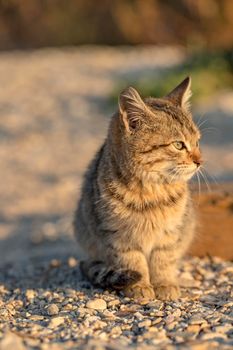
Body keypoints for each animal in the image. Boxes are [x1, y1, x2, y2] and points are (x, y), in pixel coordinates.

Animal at [73, 77, 201, 300]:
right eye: (178, 145)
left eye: (197, 142)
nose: (199, 161)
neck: (151, 191)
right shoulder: (119, 236)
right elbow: (133, 261)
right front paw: (140, 286)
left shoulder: (170, 233)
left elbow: (163, 259)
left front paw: (164, 283)